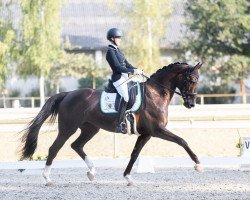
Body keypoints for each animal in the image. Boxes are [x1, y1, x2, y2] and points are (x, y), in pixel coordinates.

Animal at [19, 61, 203, 185]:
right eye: (192, 79)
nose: (191, 104)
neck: (156, 93)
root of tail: (68, 94)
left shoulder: (146, 134)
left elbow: (134, 154)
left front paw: (128, 178)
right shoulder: (157, 130)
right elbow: (182, 141)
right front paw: (198, 164)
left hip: (90, 129)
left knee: (76, 145)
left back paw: (92, 172)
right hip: (67, 128)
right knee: (54, 148)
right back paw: (47, 179)